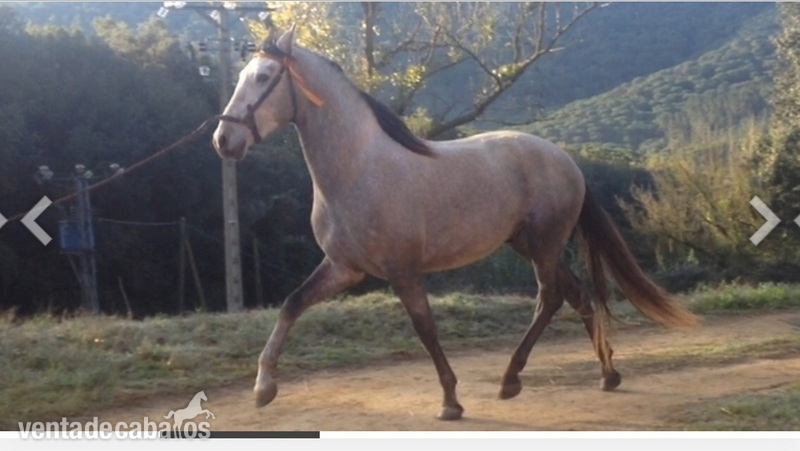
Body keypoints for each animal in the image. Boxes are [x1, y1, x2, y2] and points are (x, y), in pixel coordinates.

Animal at [212, 26, 700, 421]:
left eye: (263, 77)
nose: (224, 140)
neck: (358, 170)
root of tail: (566, 160)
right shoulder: (344, 269)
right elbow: (291, 304)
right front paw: (264, 388)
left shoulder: (403, 272)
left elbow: (426, 330)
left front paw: (450, 401)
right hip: (529, 245)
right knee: (577, 296)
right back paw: (608, 373)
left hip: (543, 247)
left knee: (550, 299)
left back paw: (511, 379)